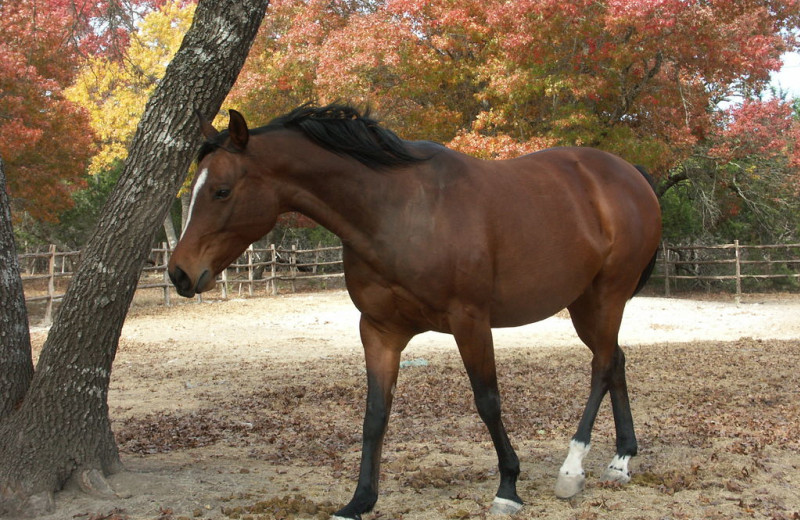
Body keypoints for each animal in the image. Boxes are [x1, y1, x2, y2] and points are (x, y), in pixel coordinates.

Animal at [169, 103, 664, 516]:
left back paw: (572, 469)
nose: (179, 273)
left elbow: (487, 401)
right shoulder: (379, 330)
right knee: (615, 361)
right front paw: (360, 500)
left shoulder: (470, 321)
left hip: (606, 296)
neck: (399, 211)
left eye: (221, 191)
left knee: (601, 367)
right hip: (584, 303)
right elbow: (375, 414)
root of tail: (630, 175)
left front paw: (508, 487)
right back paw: (621, 460)